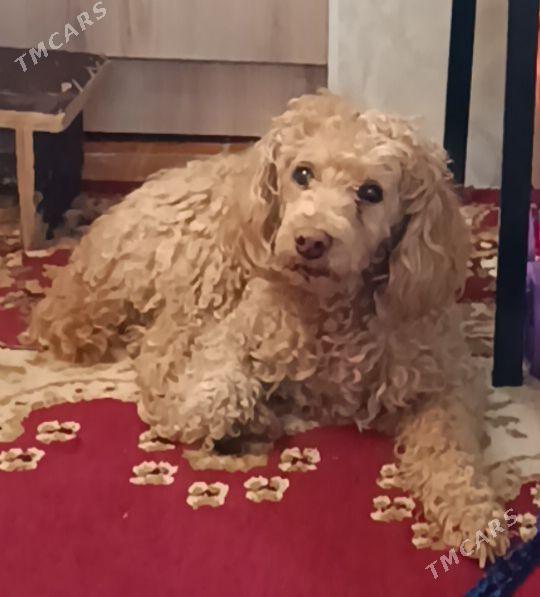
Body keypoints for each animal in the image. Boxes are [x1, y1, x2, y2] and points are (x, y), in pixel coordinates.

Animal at [28, 91, 507, 561]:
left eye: (371, 192)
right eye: (302, 173)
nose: (310, 241)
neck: (332, 310)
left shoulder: (443, 379)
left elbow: (449, 447)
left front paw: (475, 511)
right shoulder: (233, 335)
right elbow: (214, 396)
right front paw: (215, 416)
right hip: (207, 274)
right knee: (158, 351)